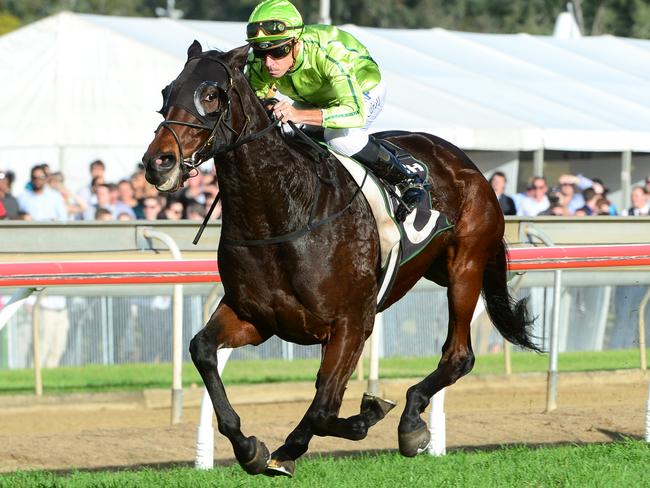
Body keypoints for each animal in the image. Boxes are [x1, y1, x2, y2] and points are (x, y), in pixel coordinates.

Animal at [142, 42, 536, 476]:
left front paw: (360, 417)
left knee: (458, 357)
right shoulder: (256, 316)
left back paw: (411, 421)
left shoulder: (352, 322)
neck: (285, 212)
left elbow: (324, 408)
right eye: (166, 92)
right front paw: (251, 448)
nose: (158, 163)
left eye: (210, 95)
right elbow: (202, 349)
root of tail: (463, 160)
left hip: (466, 266)